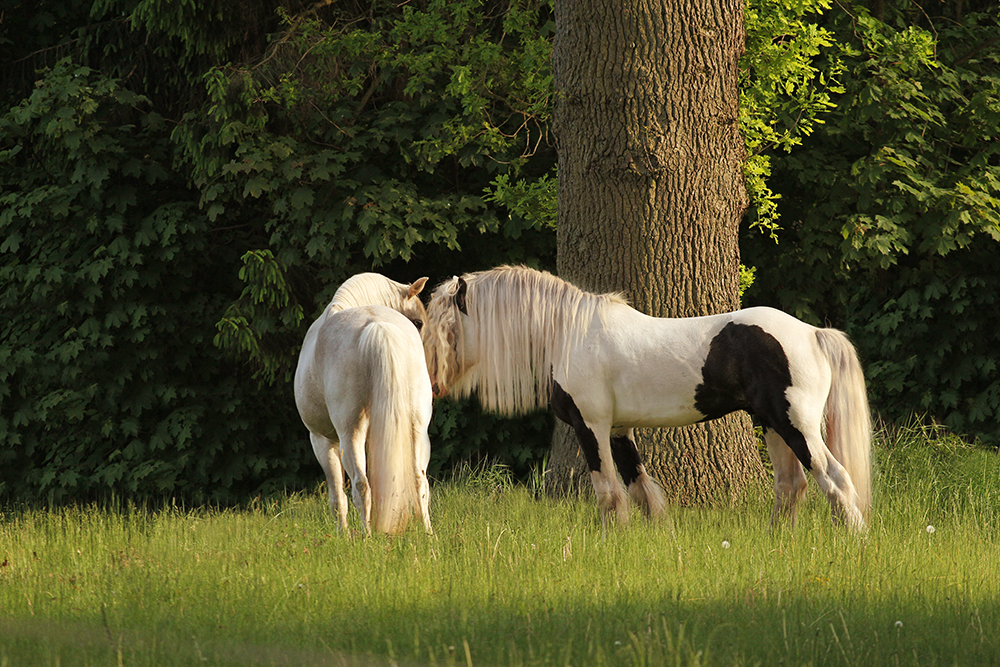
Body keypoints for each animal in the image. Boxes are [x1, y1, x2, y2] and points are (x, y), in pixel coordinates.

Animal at [292, 274, 432, 536]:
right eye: (418, 322)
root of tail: (377, 327)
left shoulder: (321, 440)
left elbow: (337, 497)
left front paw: (342, 536)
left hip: (350, 434)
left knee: (361, 485)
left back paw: (366, 538)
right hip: (417, 428)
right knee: (420, 480)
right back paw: (428, 535)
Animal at [426, 266, 872, 532]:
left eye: (444, 325)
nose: (432, 385)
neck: (570, 334)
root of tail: (813, 333)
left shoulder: (592, 427)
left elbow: (608, 492)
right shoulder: (619, 429)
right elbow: (640, 490)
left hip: (797, 427)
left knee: (835, 478)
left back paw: (853, 539)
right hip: (773, 426)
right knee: (791, 485)